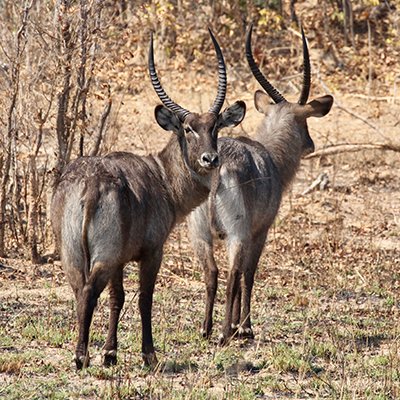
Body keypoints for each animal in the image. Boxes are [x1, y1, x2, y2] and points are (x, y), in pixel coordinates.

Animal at [51, 30, 245, 368]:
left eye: (215, 127)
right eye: (188, 128)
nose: (210, 159)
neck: (162, 177)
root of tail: (90, 184)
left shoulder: (119, 260)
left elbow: (117, 298)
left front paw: (110, 352)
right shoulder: (152, 251)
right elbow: (144, 299)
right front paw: (149, 354)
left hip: (73, 254)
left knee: (78, 292)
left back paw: (83, 352)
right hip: (103, 254)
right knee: (88, 293)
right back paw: (80, 357)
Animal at [188, 25, 334, 344]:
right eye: (306, 121)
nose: (311, 144)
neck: (270, 156)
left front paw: (237, 325)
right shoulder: (260, 231)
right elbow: (249, 274)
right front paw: (244, 326)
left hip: (200, 235)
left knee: (211, 272)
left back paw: (206, 329)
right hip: (237, 234)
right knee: (232, 275)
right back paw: (225, 333)